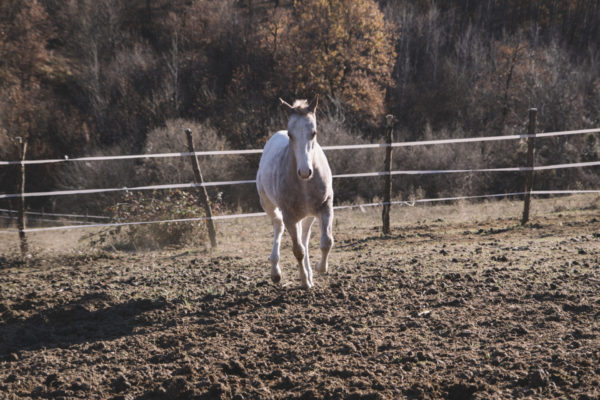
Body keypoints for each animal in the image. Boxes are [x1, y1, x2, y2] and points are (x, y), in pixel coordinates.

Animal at [256, 98, 336, 290]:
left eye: (313, 133)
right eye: (291, 135)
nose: (305, 172)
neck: (305, 185)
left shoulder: (326, 207)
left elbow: (326, 241)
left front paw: (319, 269)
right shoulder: (290, 216)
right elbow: (297, 251)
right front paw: (305, 282)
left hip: (309, 214)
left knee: (305, 238)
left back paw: (310, 273)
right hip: (269, 205)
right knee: (279, 226)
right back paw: (276, 273)